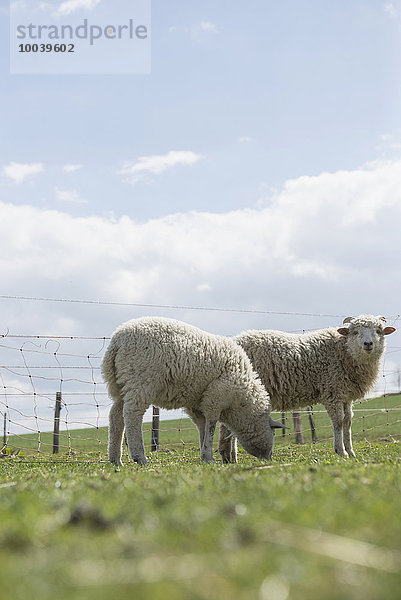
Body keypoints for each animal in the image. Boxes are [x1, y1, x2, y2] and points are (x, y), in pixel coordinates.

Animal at [103, 316, 284, 466]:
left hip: (121, 383)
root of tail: (117, 341)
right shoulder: (215, 396)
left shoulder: (197, 402)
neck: (241, 403)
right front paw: (209, 457)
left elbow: (202, 426)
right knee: (132, 415)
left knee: (116, 416)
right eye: (273, 433)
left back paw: (115, 459)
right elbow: (211, 425)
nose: (269, 458)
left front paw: (204, 455)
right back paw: (139, 457)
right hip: (140, 381)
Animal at [217, 314, 396, 460]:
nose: (368, 344)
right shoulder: (332, 391)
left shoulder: (345, 395)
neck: (344, 351)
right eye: (355, 332)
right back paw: (228, 457)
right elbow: (338, 422)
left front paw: (351, 452)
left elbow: (348, 422)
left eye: (379, 331)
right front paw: (341, 451)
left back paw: (231, 457)